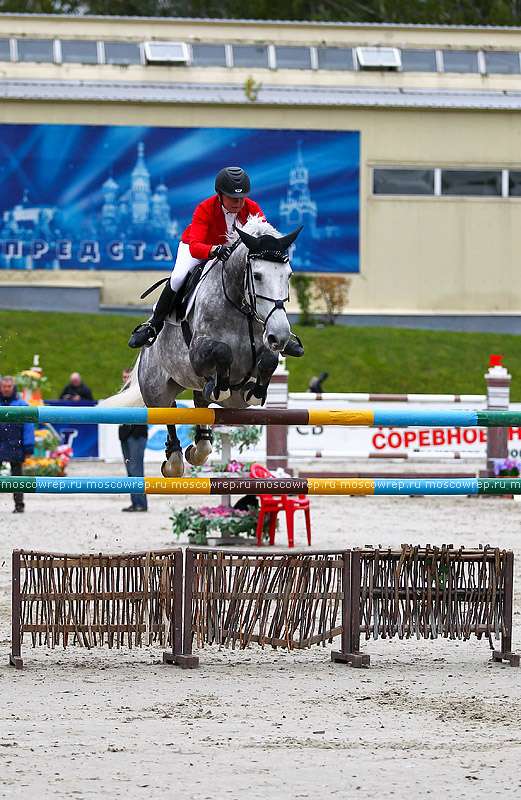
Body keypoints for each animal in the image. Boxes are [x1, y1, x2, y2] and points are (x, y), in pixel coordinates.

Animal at [102, 214, 300, 476]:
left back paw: (199, 446)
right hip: (156, 389)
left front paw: (254, 392)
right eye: (257, 275)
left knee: (200, 404)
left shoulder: (260, 355)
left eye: (288, 275)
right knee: (169, 410)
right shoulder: (198, 352)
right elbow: (223, 352)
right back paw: (175, 459)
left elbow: (267, 361)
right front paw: (222, 385)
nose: (281, 335)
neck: (242, 310)